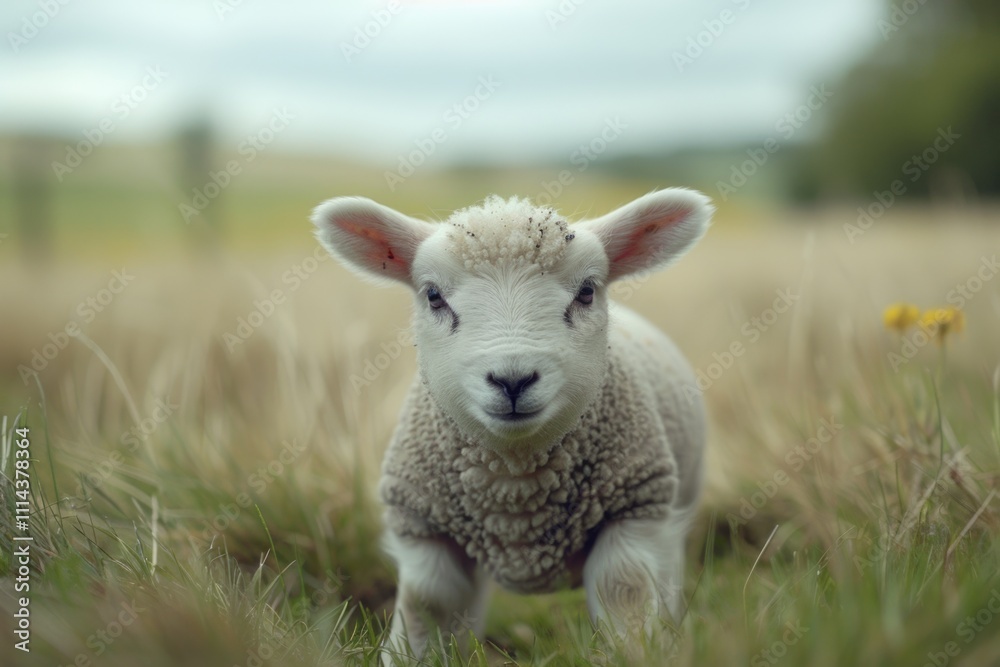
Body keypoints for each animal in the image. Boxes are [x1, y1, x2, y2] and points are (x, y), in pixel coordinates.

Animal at [312, 189, 712, 661]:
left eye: (587, 291)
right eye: (433, 296)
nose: (513, 380)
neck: (515, 488)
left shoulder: (634, 511)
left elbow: (626, 596)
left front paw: (638, 653)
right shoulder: (425, 532)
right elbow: (424, 610)